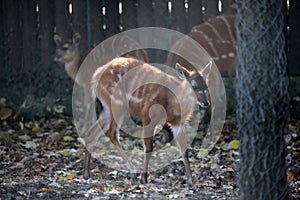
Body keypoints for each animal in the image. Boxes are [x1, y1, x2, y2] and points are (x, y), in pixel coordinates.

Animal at [53, 32, 149, 179]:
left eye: (66, 47)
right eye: (57, 45)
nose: (55, 57)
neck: (78, 68)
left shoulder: (87, 86)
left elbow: (88, 109)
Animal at [83, 56, 212, 186]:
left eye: (206, 87)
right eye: (194, 86)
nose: (206, 103)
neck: (172, 103)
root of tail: (95, 76)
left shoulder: (178, 123)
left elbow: (184, 150)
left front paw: (191, 181)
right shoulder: (148, 116)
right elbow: (149, 147)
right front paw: (144, 179)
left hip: (108, 107)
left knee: (91, 133)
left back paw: (86, 174)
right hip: (117, 103)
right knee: (112, 133)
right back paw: (133, 173)